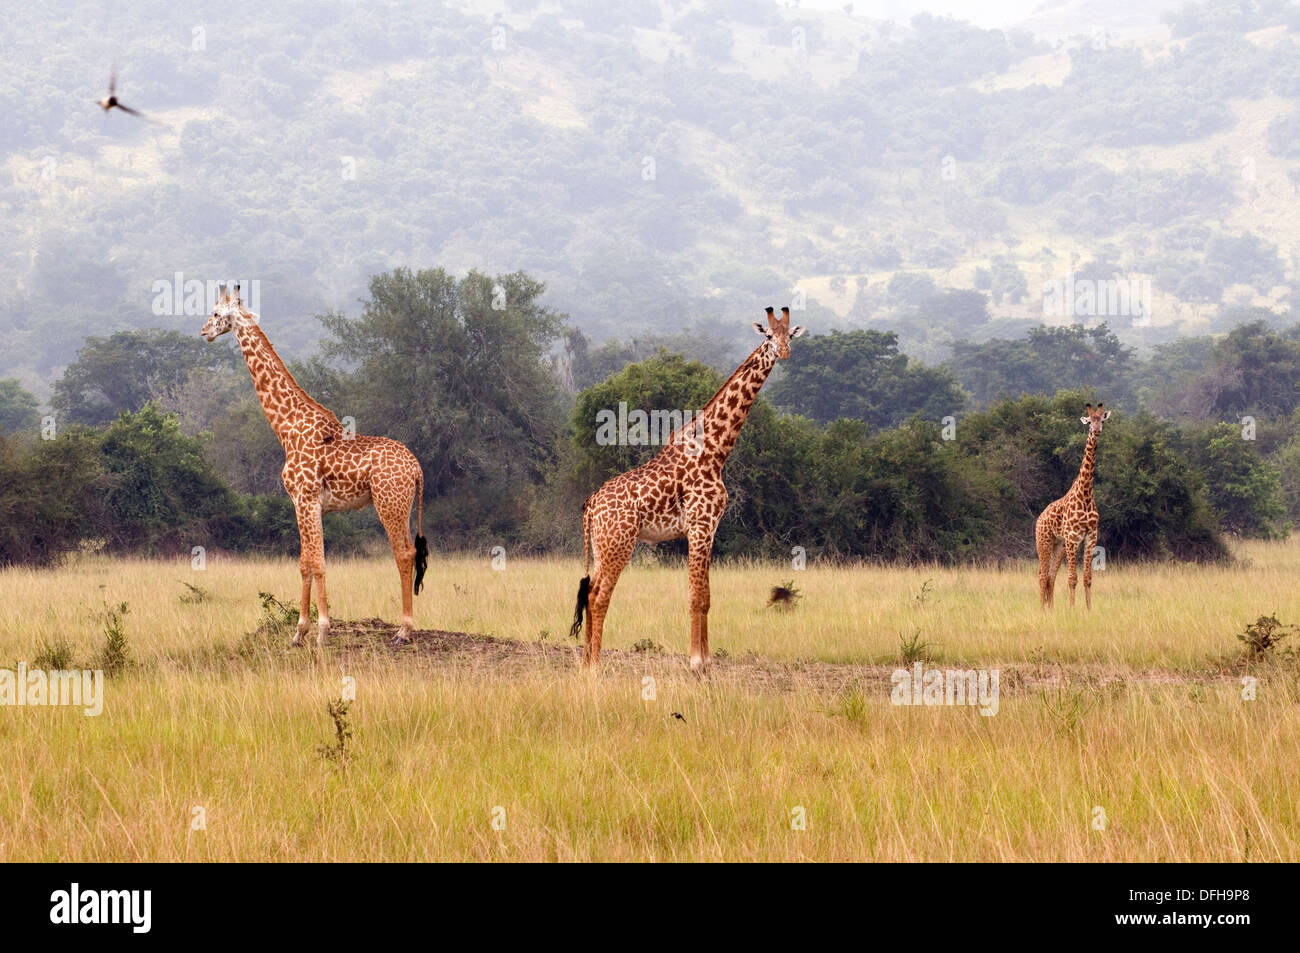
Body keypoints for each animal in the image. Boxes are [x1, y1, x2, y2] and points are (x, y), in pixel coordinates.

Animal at [200, 284, 428, 647]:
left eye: (217, 313)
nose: (204, 331)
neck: (287, 427)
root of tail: (417, 469)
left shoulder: (305, 499)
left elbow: (318, 562)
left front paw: (322, 631)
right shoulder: (302, 502)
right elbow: (304, 561)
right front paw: (299, 632)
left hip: (389, 503)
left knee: (404, 554)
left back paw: (404, 630)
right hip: (401, 504)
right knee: (409, 553)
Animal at [569, 304, 800, 670]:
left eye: (789, 335)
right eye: (767, 336)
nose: (785, 352)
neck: (715, 451)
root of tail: (591, 504)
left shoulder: (710, 528)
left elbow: (706, 596)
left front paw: (707, 662)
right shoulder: (699, 526)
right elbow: (695, 596)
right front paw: (695, 662)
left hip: (601, 546)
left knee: (590, 592)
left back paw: (585, 662)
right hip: (619, 544)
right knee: (599, 595)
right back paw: (595, 666)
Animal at [1029, 400, 1112, 608]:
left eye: (1102, 421)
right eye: (1089, 422)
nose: (1097, 430)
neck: (1086, 494)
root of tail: (1039, 518)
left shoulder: (1091, 536)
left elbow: (1087, 578)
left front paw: (1089, 609)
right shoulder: (1073, 537)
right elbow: (1072, 578)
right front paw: (1073, 609)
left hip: (1059, 545)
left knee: (1050, 576)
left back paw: (1051, 610)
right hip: (1043, 541)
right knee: (1042, 575)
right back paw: (1042, 610)